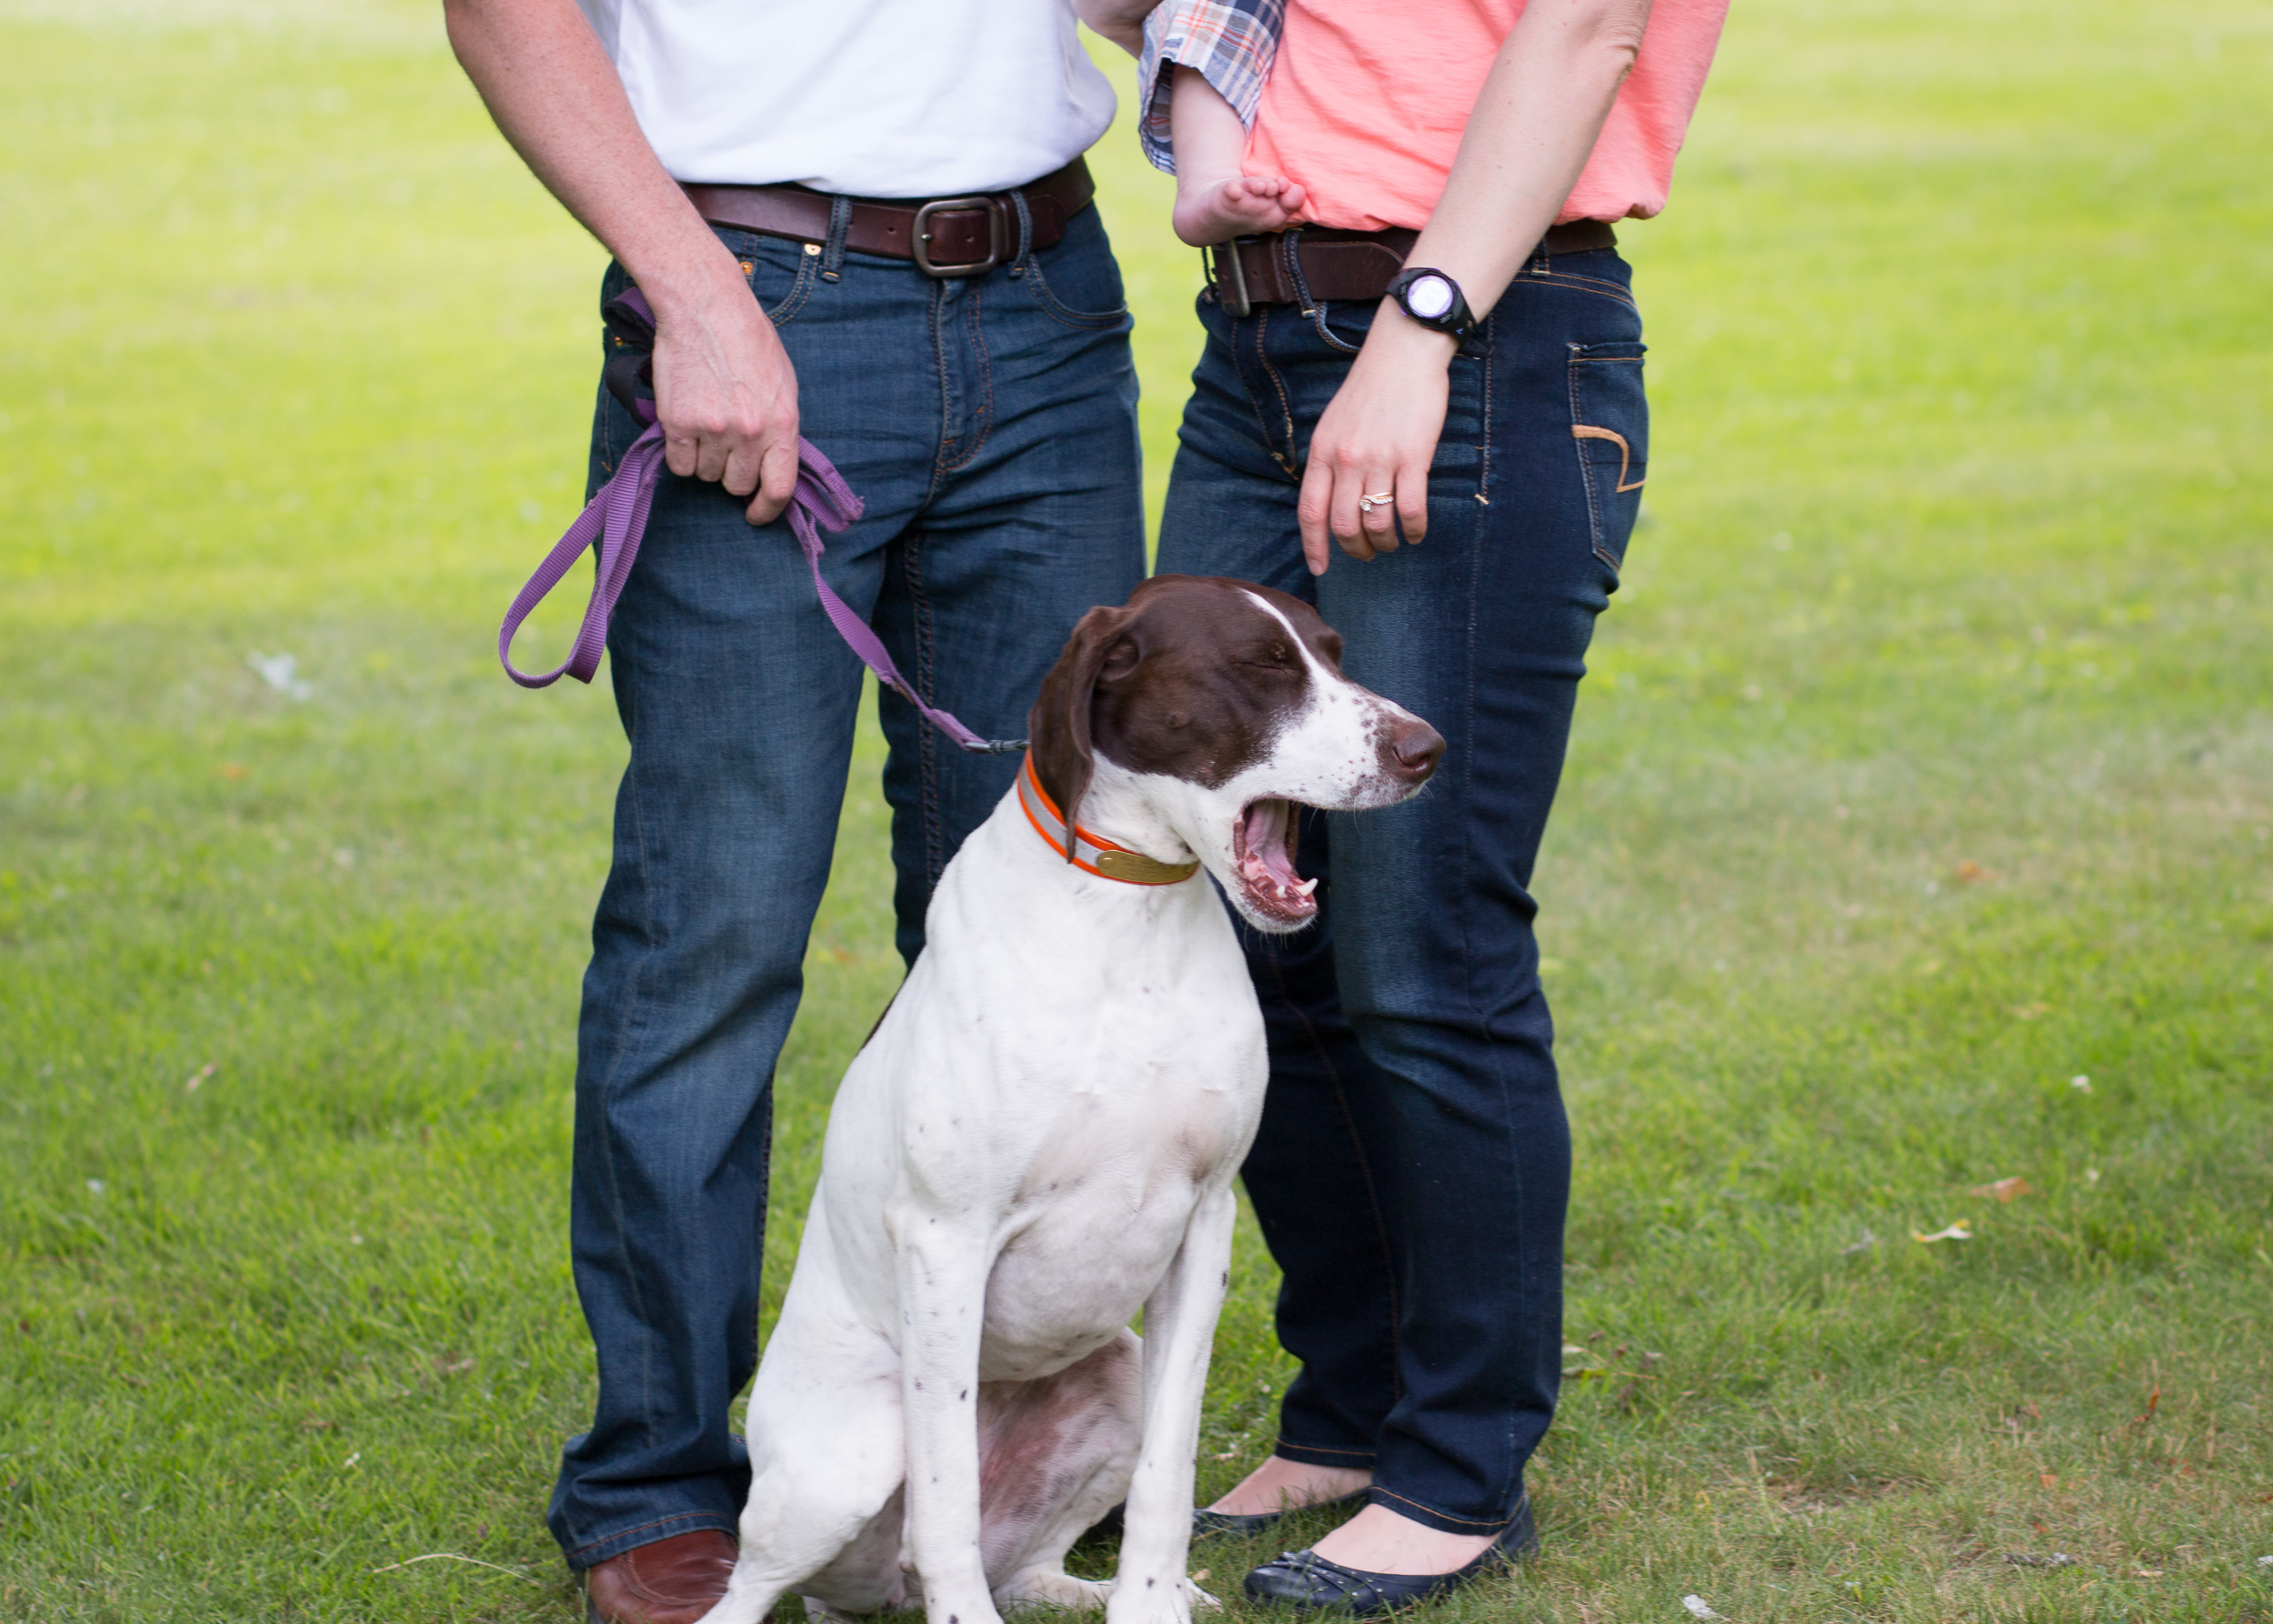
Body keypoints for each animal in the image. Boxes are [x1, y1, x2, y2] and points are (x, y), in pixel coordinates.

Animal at [691, 577, 1446, 1619]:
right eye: (1260, 667)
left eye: (1334, 652)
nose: (1427, 746)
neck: (1125, 917)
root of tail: (873, 1595)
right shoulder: (946, 1241)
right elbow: (945, 1502)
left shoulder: (1204, 1226)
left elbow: (1168, 1473)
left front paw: (1152, 1601)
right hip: (837, 1470)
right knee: (778, 1580)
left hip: (1112, 1376)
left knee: (1028, 1563)